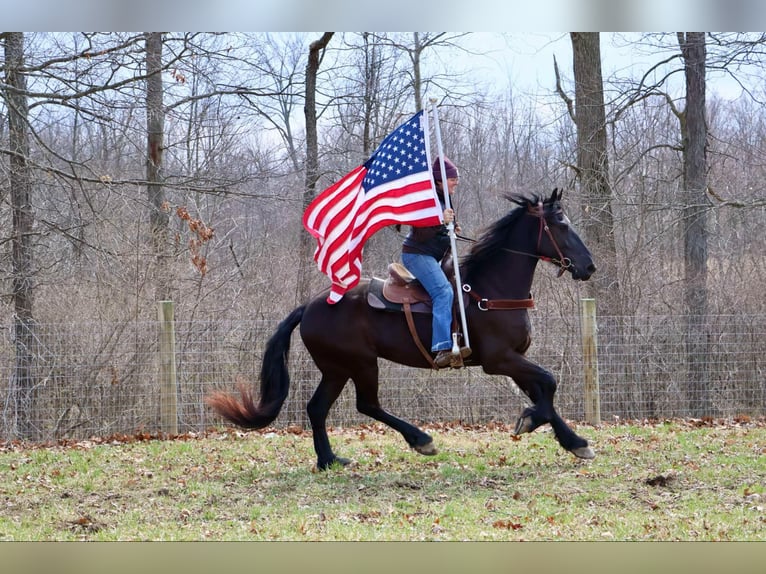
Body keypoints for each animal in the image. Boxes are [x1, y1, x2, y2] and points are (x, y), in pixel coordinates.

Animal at [206, 189, 597, 470]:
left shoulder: (514, 360)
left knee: (317, 408)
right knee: (367, 404)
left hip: (335, 369)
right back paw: (421, 440)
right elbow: (549, 384)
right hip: (361, 363)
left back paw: (329, 460)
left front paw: (575, 443)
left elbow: (543, 391)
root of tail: (310, 305)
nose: (589, 266)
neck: (489, 290)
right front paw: (531, 421)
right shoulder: (499, 360)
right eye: (561, 225)